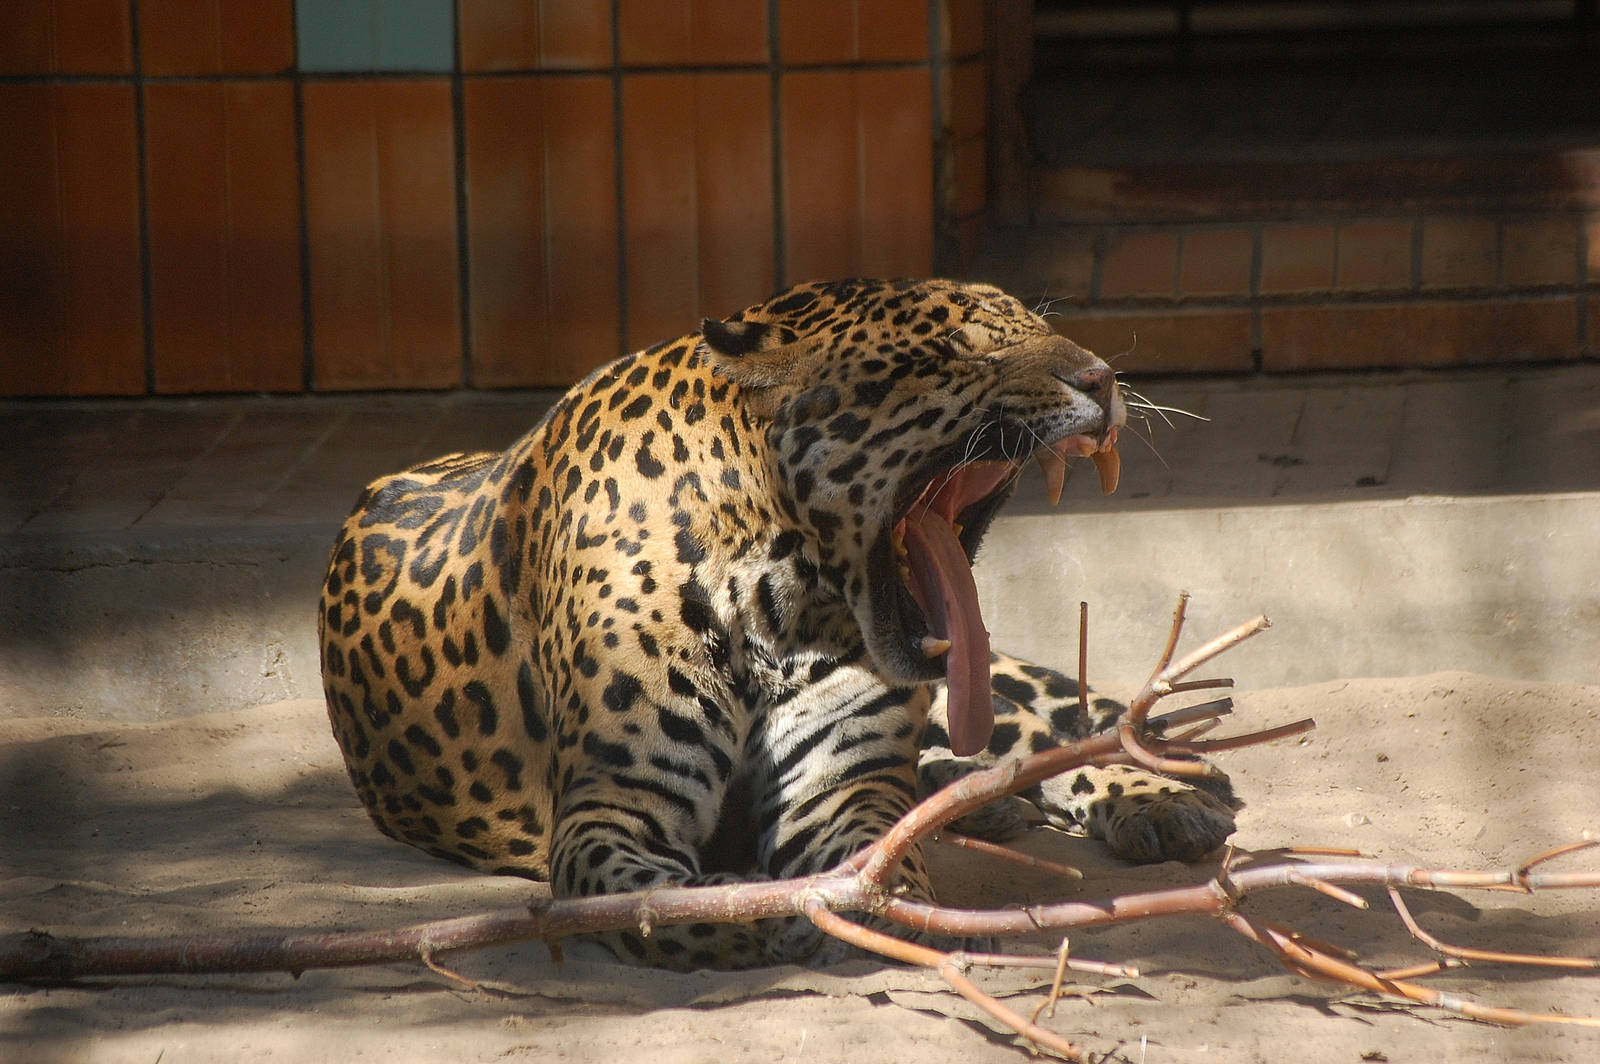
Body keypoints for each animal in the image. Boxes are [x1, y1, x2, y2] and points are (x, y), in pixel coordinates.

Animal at [319, 277, 1236, 970]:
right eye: (964, 348)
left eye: (1039, 328)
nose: (1104, 378)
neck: (775, 593)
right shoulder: (612, 806)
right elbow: (641, 895)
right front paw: (749, 910)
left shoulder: (839, 788)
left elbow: (876, 851)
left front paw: (878, 905)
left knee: (1050, 733)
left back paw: (1155, 799)